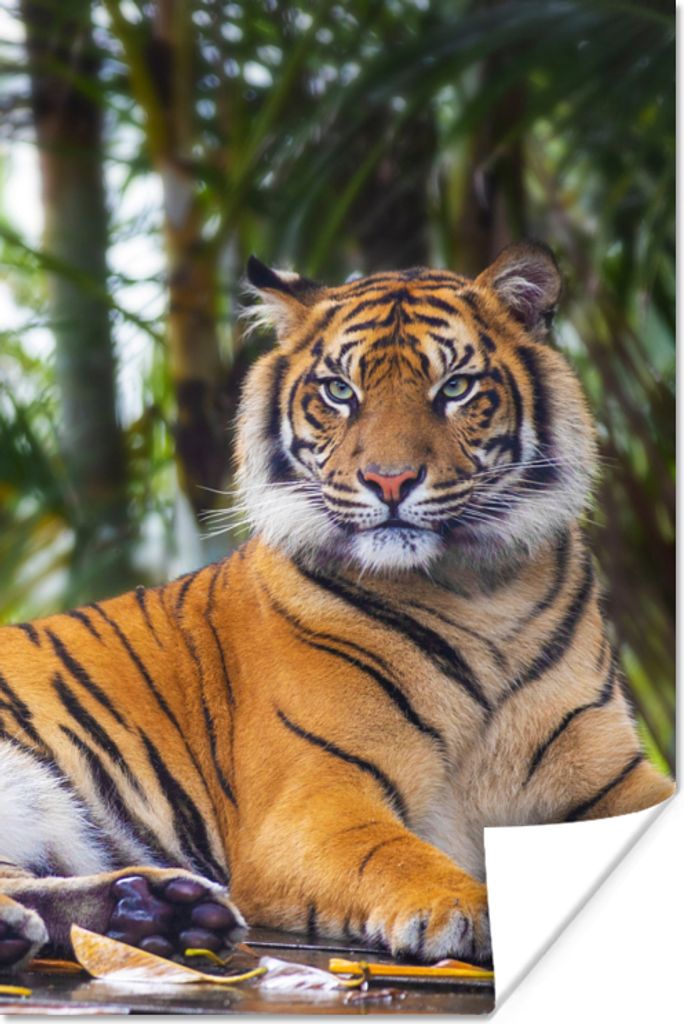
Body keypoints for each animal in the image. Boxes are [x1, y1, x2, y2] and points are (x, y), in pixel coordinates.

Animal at [0, 242, 674, 973]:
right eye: (340, 392)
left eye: (455, 388)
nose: (389, 481)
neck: (478, 591)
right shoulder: (316, 794)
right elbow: (392, 852)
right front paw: (465, 907)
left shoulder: (612, 773)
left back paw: (159, 913)